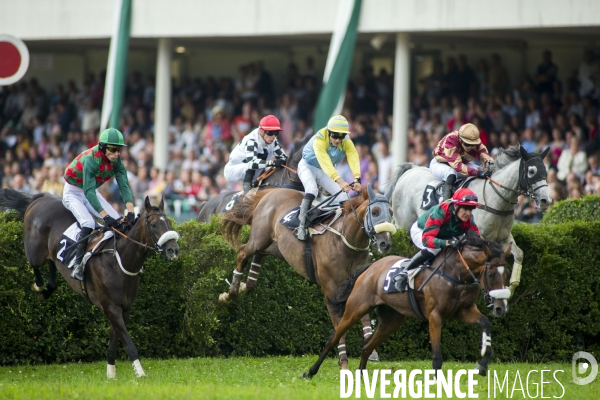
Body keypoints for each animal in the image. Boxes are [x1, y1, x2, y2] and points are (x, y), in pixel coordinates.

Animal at [0, 189, 179, 380]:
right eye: (153, 224)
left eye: (168, 222)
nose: (173, 250)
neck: (120, 260)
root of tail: (40, 198)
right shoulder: (111, 307)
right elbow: (128, 343)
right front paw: (140, 372)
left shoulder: (123, 309)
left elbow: (114, 342)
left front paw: (111, 373)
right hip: (35, 252)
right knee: (33, 262)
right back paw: (40, 287)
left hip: (51, 252)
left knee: (52, 262)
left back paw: (49, 288)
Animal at [220, 184, 398, 368]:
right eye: (375, 211)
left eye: (391, 212)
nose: (385, 243)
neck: (345, 242)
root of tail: (272, 191)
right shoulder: (331, 293)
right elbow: (339, 329)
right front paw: (343, 363)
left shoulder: (360, 287)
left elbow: (363, 317)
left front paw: (372, 350)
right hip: (259, 239)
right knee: (242, 251)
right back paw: (230, 293)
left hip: (277, 246)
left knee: (258, 255)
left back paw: (244, 286)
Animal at [300, 233, 510, 380]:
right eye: (490, 274)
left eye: (507, 273)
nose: (501, 307)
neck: (455, 273)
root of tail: (371, 267)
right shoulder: (435, 315)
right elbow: (436, 353)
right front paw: (438, 382)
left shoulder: (463, 311)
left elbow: (485, 323)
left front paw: (482, 365)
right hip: (356, 309)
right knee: (333, 339)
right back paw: (310, 372)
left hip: (391, 321)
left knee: (367, 346)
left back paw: (360, 376)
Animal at [392, 145, 552, 296]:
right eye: (531, 171)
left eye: (545, 171)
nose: (546, 200)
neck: (495, 201)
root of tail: (411, 170)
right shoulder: (478, 237)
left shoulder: (503, 238)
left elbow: (519, 254)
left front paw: (510, 287)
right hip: (403, 225)